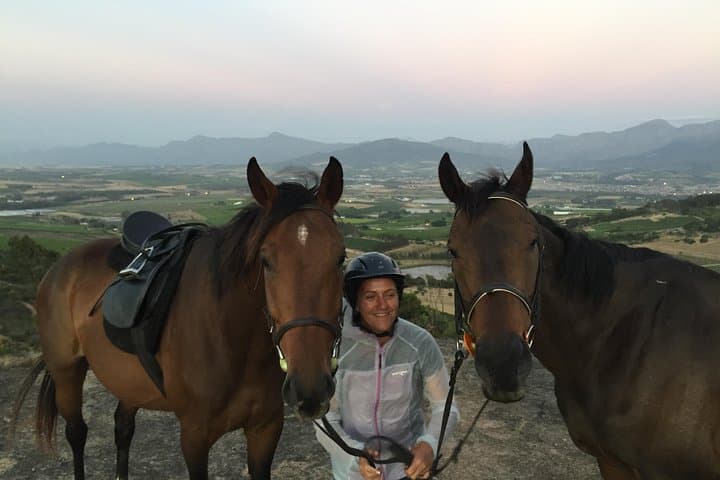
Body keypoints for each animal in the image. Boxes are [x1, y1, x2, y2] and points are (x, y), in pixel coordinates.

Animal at [12, 157, 347, 480]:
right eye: (265, 261)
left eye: (340, 258)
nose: (310, 389)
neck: (232, 340)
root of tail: (60, 268)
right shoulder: (194, 437)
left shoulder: (265, 429)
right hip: (67, 371)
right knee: (77, 433)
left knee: (123, 428)